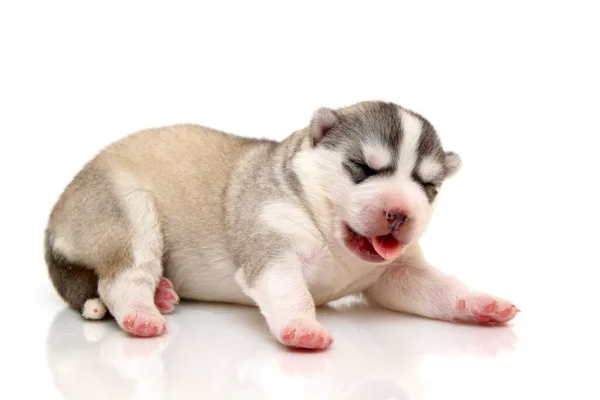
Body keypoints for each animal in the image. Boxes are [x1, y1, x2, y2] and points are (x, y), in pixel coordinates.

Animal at [44, 101, 516, 348]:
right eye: (363, 168)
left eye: (428, 186)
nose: (400, 213)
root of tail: (55, 217)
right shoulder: (272, 243)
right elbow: (290, 290)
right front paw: (302, 328)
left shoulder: (396, 273)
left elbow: (438, 288)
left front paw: (481, 303)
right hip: (127, 213)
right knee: (120, 279)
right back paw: (142, 314)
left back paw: (160, 293)